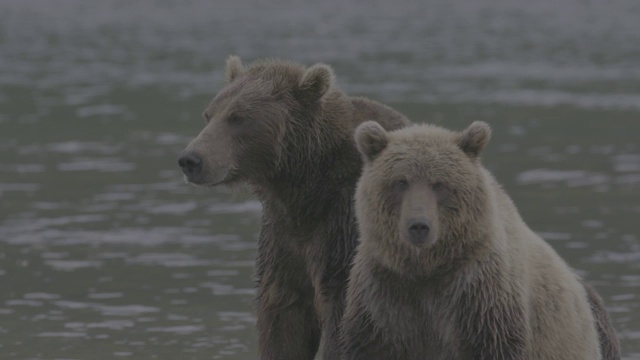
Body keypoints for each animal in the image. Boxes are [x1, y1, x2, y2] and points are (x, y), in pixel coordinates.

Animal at [179, 56, 410, 360]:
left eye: (238, 117)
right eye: (209, 114)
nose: (190, 159)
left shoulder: (345, 229)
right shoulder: (283, 238)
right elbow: (283, 318)